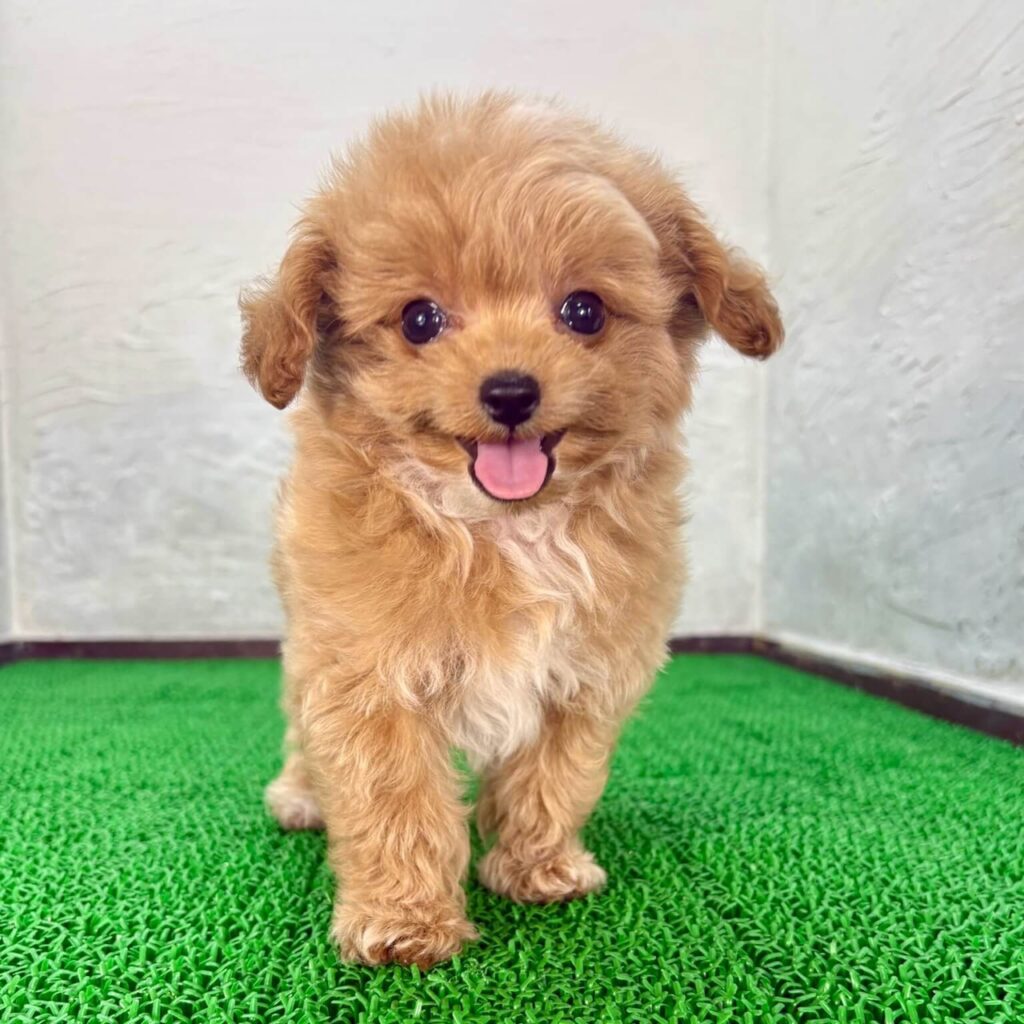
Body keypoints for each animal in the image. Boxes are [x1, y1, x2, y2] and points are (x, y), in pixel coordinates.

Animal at [241, 92, 782, 969]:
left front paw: (537, 867)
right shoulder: (366, 672)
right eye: (419, 319)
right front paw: (404, 919)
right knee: (298, 723)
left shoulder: (586, 675)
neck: (505, 529)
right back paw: (298, 794)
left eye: (584, 311)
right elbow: (390, 797)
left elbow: (555, 776)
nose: (509, 392)